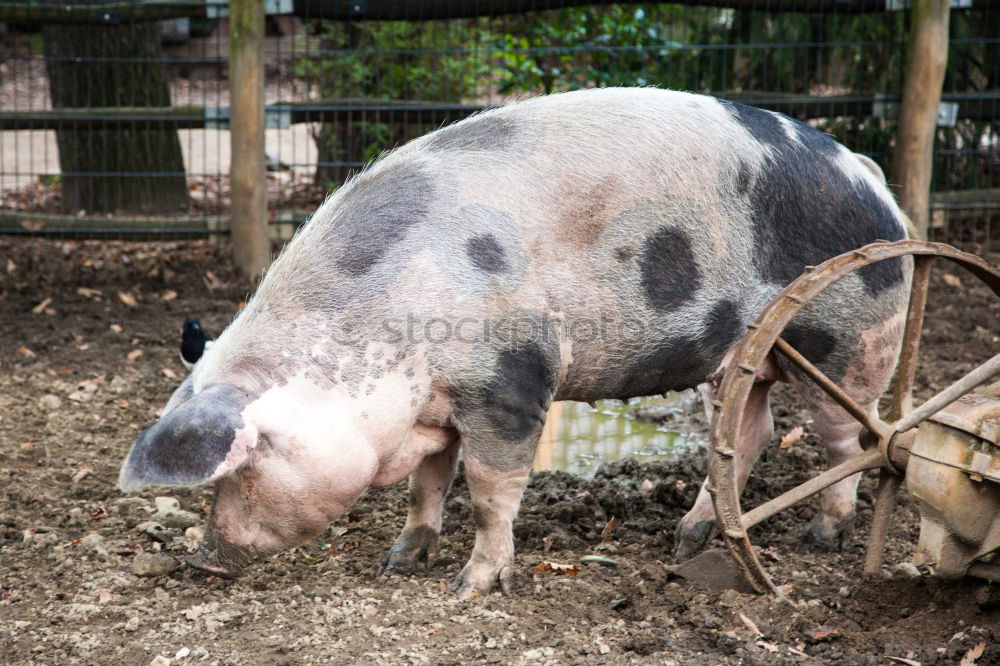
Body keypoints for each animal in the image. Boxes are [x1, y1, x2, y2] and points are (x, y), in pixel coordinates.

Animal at [115, 85, 908, 592]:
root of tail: (870, 175)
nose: (200, 560)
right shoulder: (436, 406)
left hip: (851, 337)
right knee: (751, 433)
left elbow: (491, 491)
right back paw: (688, 540)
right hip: (743, 359)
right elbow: (428, 483)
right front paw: (400, 561)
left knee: (854, 437)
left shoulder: (511, 380)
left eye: (244, 467)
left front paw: (470, 588)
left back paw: (822, 537)